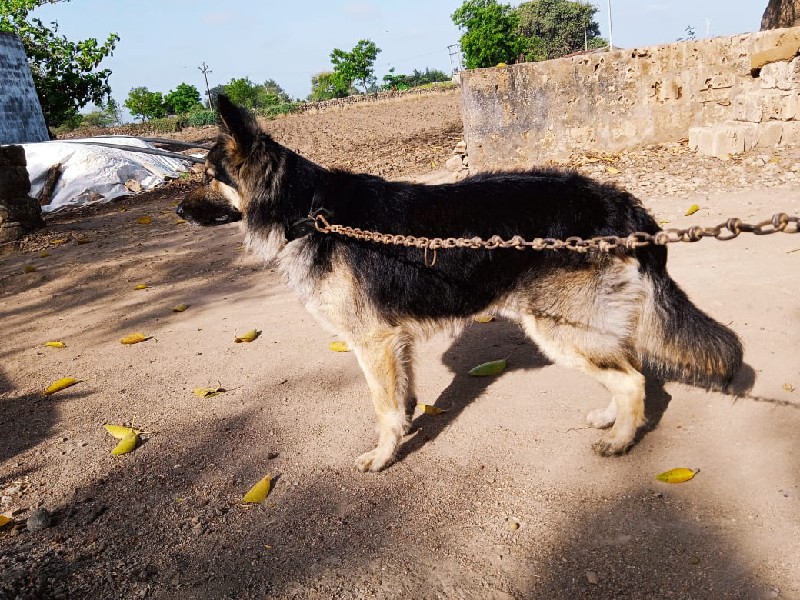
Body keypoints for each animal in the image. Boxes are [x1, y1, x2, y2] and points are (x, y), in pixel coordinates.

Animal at [177, 96, 744, 474]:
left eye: (206, 176)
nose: (178, 212)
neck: (305, 209)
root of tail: (620, 202)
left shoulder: (373, 342)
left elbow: (384, 408)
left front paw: (383, 455)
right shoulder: (395, 341)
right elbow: (403, 398)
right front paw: (407, 430)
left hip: (558, 328)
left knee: (631, 380)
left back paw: (621, 442)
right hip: (581, 327)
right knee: (626, 370)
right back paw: (611, 419)